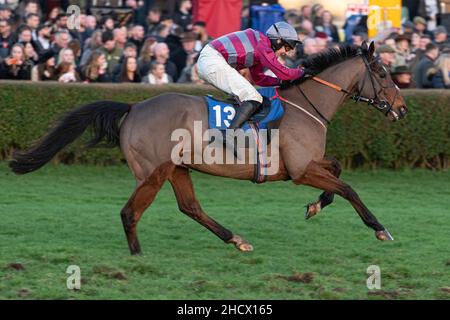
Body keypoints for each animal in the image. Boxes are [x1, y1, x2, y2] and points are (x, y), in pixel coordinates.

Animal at [8, 42, 408, 255]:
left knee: (190, 207)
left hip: (177, 168)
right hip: (153, 171)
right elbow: (349, 187)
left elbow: (337, 169)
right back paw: (138, 256)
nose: (402, 109)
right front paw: (379, 228)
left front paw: (315, 206)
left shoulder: (307, 164)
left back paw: (237, 240)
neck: (306, 105)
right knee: (130, 212)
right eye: (383, 73)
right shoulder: (299, 170)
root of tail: (133, 107)